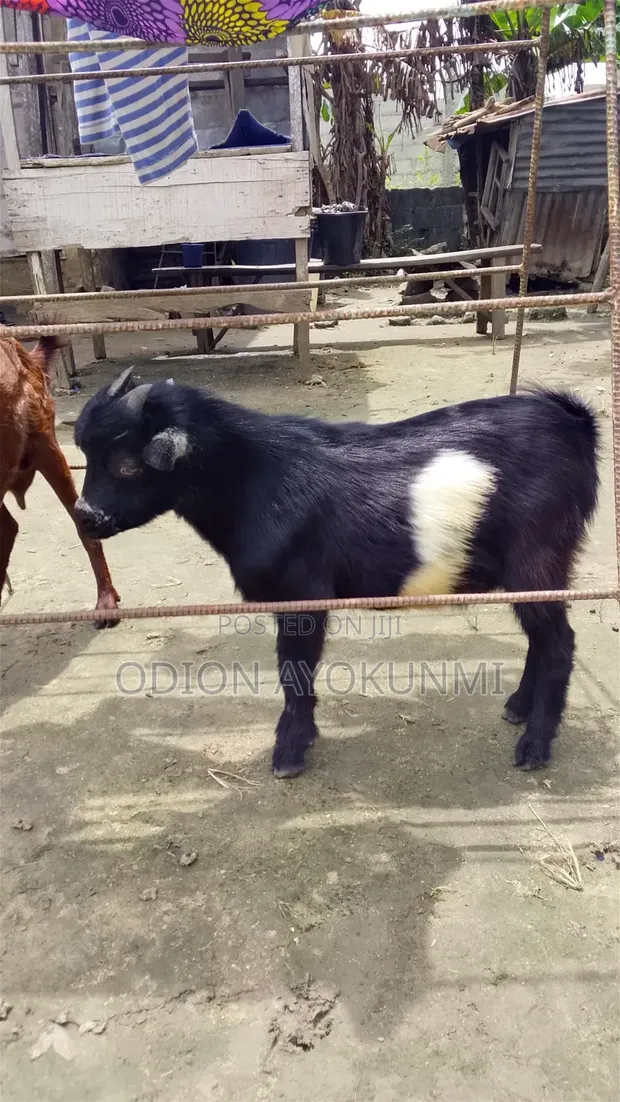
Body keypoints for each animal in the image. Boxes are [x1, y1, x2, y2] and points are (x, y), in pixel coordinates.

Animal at [72, 368, 599, 776]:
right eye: (87, 457)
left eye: (125, 465)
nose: (85, 517)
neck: (255, 476)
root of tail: (574, 423)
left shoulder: (301, 595)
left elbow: (295, 671)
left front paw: (289, 753)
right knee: (541, 639)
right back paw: (516, 708)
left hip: (538, 558)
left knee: (559, 642)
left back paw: (534, 748)